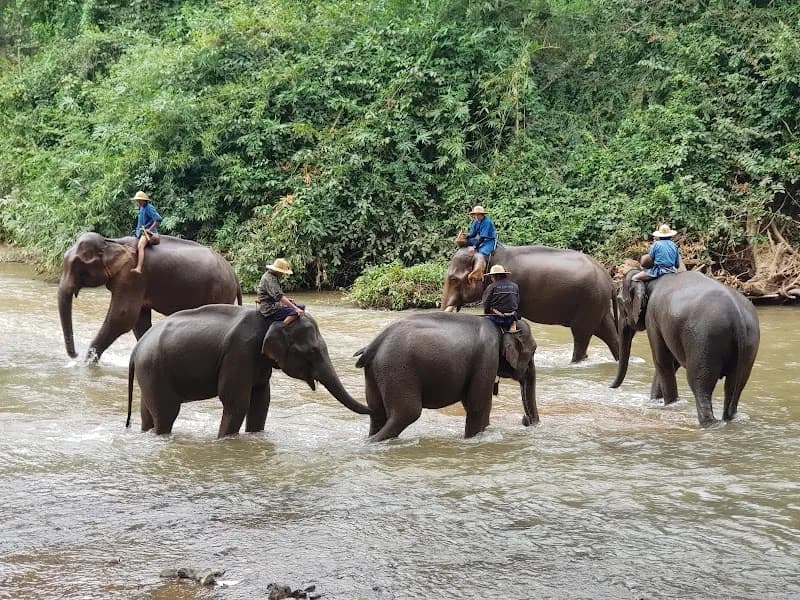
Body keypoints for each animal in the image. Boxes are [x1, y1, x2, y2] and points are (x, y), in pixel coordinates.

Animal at [58, 232, 241, 361]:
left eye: (79, 267)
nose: (75, 355)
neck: (112, 242)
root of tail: (234, 273)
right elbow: (140, 321)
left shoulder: (133, 277)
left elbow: (122, 317)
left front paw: (88, 363)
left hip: (220, 291)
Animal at [126, 304, 371, 437]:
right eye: (312, 351)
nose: (374, 410)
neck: (270, 320)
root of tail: (137, 348)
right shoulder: (240, 352)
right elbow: (237, 402)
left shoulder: (258, 361)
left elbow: (262, 400)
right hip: (154, 369)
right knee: (166, 413)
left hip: (149, 373)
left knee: (147, 411)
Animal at [353, 312, 538, 441]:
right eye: (534, 351)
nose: (525, 419)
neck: (500, 326)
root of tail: (374, 344)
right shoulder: (486, 357)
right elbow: (477, 405)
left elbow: (483, 406)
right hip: (398, 369)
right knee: (407, 413)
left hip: (376, 373)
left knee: (377, 414)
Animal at [441, 245, 619, 363]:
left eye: (454, 279)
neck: (489, 254)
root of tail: (609, 279)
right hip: (597, 303)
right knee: (608, 333)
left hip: (589, 302)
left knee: (582, 335)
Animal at [610, 270, 760, 427]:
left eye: (619, 300)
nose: (610, 387)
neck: (651, 281)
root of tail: (737, 316)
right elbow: (672, 362)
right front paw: (656, 402)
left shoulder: (652, 319)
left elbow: (662, 361)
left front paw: (668, 404)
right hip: (750, 344)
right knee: (735, 384)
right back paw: (730, 419)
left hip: (704, 340)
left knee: (700, 383)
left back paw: (709, 424)